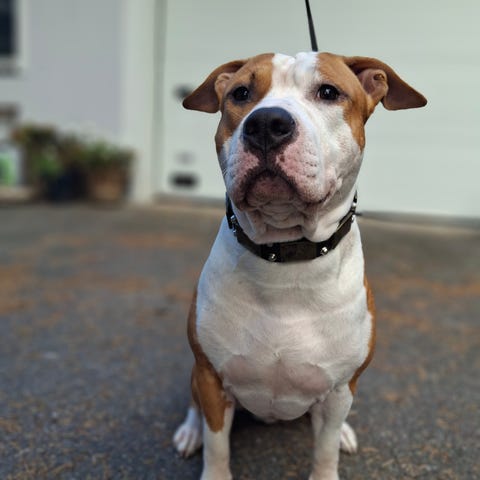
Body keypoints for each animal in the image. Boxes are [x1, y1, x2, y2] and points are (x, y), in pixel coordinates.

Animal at [173, 51, 426, 479]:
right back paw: (190, 432)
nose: (265, 124)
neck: (284, 264)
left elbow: (324, 449)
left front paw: (331, 455)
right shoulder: (210, 377)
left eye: (328, 92)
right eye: (240, 93)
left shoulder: (339, 389)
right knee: (194, 407)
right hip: (196, 375)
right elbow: (217, 444)